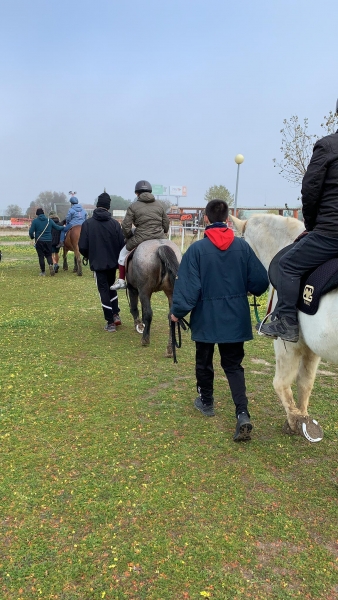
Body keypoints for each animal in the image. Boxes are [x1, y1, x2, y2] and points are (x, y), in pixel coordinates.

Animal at [232, 214, 338, 440]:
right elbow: (305, 383)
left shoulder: (287, 345)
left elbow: (281, 383)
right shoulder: (312, 349)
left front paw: (295, 421)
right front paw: (303, 417)